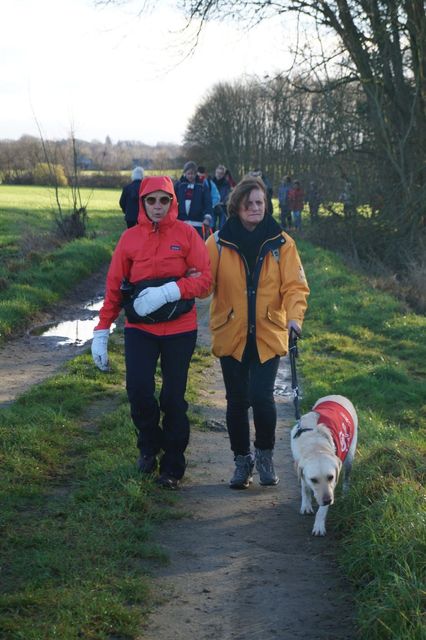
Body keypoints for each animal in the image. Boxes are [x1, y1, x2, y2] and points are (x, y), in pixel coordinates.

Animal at [292, 396, 358, 536]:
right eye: (313, 480)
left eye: (330, 477)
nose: (328, 500)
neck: (315, 446)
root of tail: (338, 395)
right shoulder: (301, 469)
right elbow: (305, 489)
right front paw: (306, 505)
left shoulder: (331, 486)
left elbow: (322, 510)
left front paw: (319, 526)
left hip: (350, 455)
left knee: (346, 478)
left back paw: (345, 494)